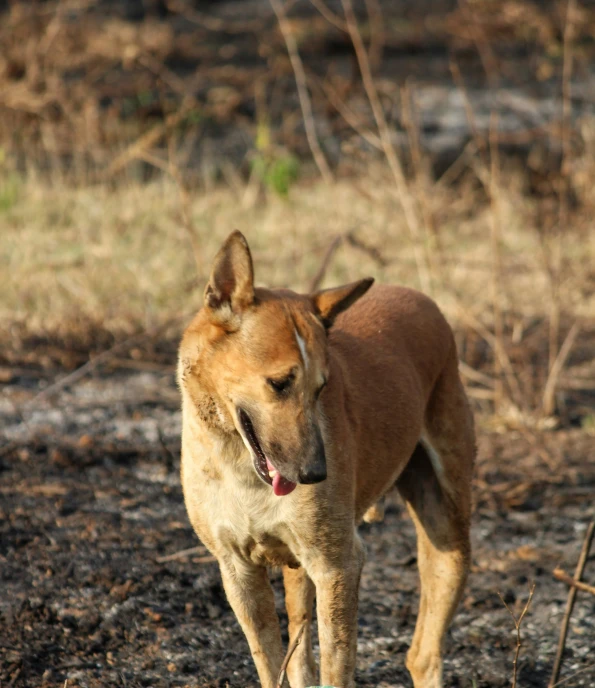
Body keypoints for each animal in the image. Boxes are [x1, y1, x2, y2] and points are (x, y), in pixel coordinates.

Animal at [179, 232, 478, 688]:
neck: (240, 468)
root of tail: (420, 297)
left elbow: (336, 665)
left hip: (448, 530)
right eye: (279, 384)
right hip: (300, 564)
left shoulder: (338, 565)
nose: (315, 474)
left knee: (423, 653)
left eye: (322, 387)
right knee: (302, 650)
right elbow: (273, 662)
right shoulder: (237, 572)